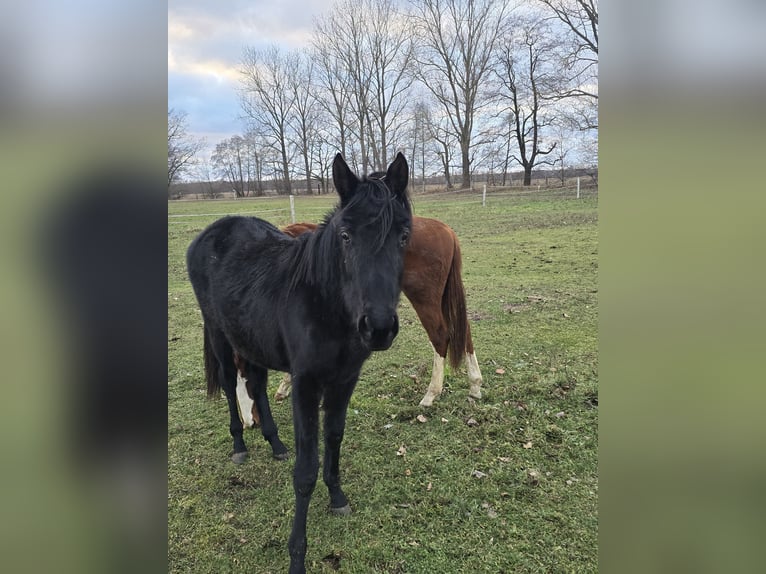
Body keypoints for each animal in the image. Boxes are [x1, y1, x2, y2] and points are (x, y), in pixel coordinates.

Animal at [187, 153, 414, 574]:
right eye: (346, 236)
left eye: (404, 236)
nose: (377, 328)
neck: (325, 303)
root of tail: (212, 231)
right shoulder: (305, 385)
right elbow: (305, 470)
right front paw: (297, 555)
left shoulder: (345, 380)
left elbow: (335, 437)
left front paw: (338, 497)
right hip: (219, 334)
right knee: (229, 383)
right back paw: (239, 445)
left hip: (252, 339)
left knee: (256, 384)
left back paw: (275, 444)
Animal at [237, 216, 484, 424]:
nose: (250, 421)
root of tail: (445, 230)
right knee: (464, 332)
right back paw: (475, 386)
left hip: (424, 299)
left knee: (441, 336)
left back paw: (431, 395)